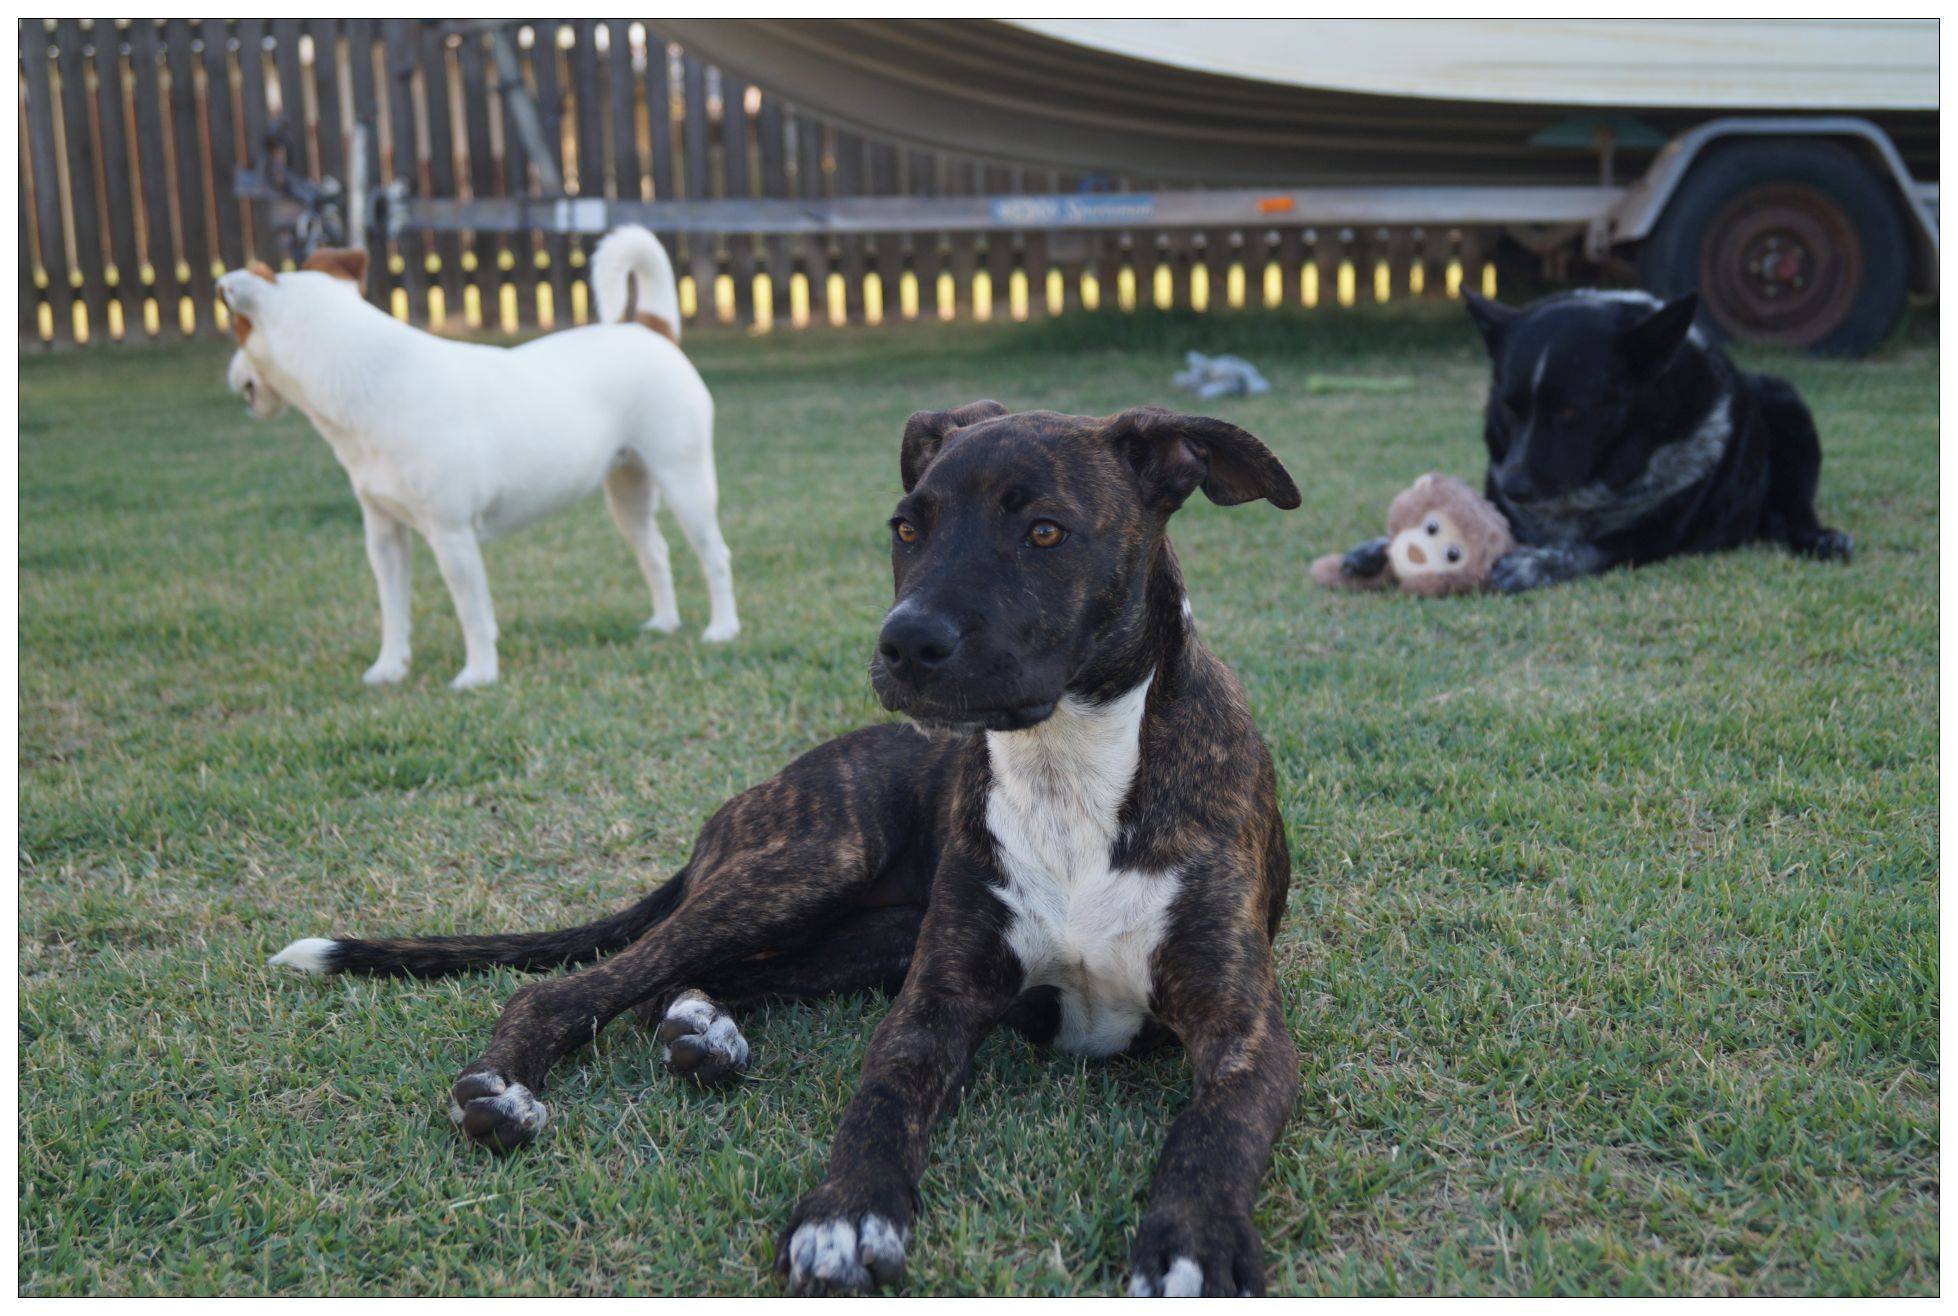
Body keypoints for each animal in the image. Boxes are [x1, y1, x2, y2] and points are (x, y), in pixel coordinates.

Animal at [219, 226, 738, 689]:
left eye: (237, 330)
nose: (231, 376)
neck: (370, 378)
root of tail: (652, 330)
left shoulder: (452, 536)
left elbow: (471, 611)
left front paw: (479, 675)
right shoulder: (384, 536)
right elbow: (393, 609)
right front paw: (389, 669)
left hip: (685, 481)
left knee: (714, 555)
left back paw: (722, 629)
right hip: (627, 488)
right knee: (654, 551)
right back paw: (664, 624)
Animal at [269, 402, 1304, 1295]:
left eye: (1046, 532)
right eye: (906, 528)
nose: (905, 643)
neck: (1069, 766)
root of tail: (747, 802)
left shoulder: (1245, 1031)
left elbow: (1211, 1136)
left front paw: (1192, 1247)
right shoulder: (932, 1006)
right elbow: (879, 1105)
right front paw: (846, 1217)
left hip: (864, 931)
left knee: (686, 986)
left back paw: (705, 1032)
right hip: (811, 860)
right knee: (580, 987)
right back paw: (507, 1089)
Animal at [1335, 289, 1851, 593]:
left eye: (1570, 413)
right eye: (1510, 408)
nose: (1516, 486)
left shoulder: (1652, 538)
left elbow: (1587, 550)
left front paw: (1533, 565)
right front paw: (1378, 547)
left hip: (1786, 399)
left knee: (1792, 511)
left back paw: (1819, 536)